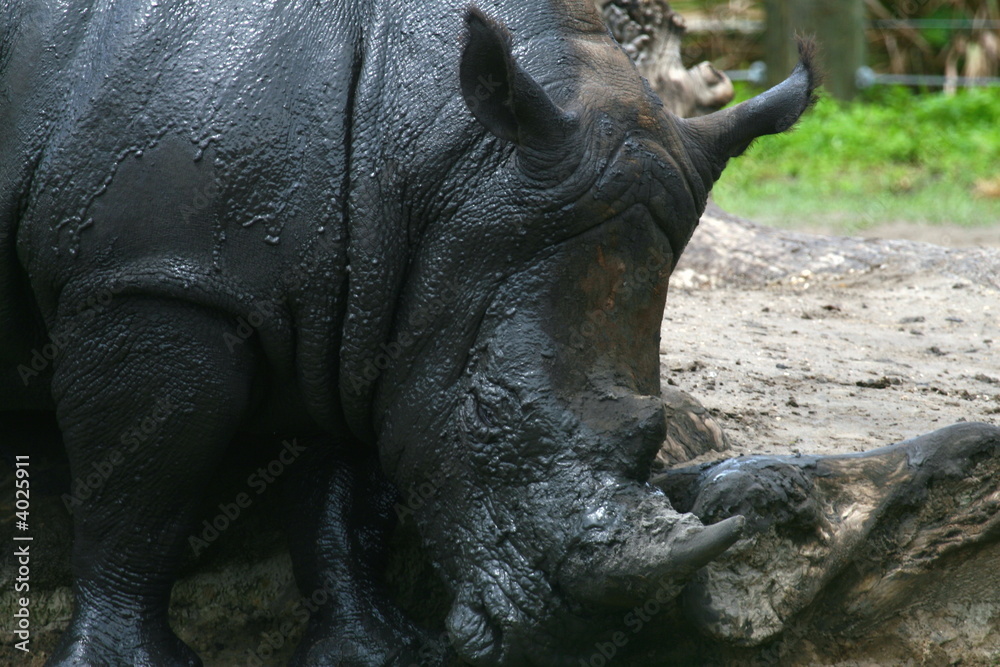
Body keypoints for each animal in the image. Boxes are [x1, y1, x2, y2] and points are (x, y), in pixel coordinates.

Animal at [0, 1, 817, 664]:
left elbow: (345, 481)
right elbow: (139, 488)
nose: (571, 641)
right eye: (489, 409)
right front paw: (125, 662)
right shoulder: (156, 277)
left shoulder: (374, 307)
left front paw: (378, 653)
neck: (427, 154)